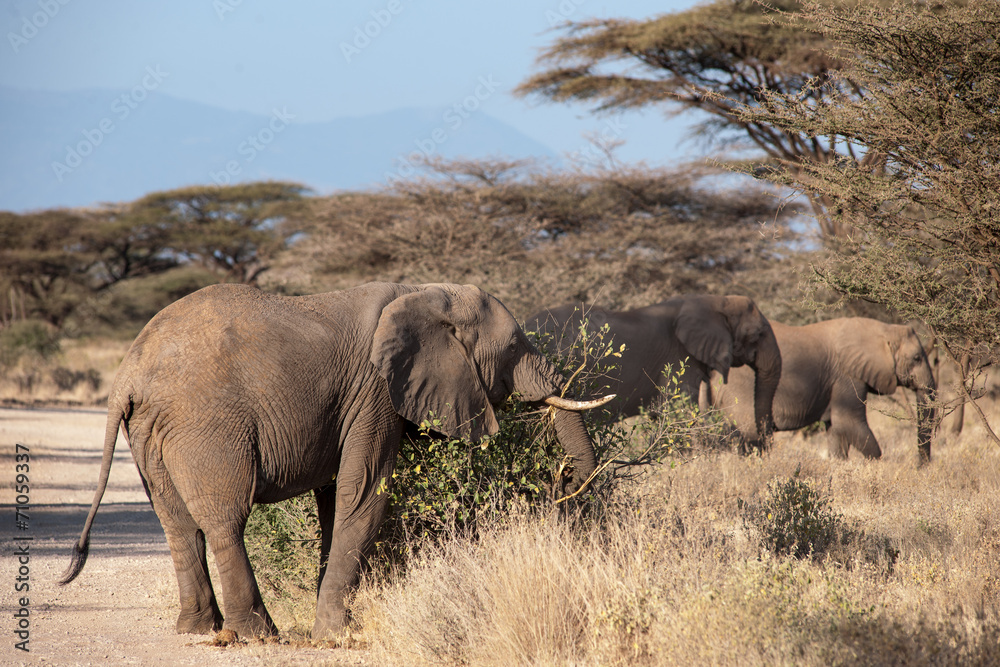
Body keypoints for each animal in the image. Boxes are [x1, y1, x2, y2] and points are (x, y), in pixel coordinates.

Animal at [60, 282, 612, 639]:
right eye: (515, 346)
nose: (566, 485)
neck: (424, 291)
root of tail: (127, 374)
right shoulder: (375, 391)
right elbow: (364, 492)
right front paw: (335, 634)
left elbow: (333, 502)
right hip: (205, 424)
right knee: (224, 519)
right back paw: (256, 634)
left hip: (151, 432)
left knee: (177, 523)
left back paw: (197, 630)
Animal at [704, 317, 937, 462]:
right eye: (917, 358)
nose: (920, 467)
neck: (883, 329)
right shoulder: (846, 376)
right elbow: (849, 423)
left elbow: (835, 430)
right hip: (740, 388)